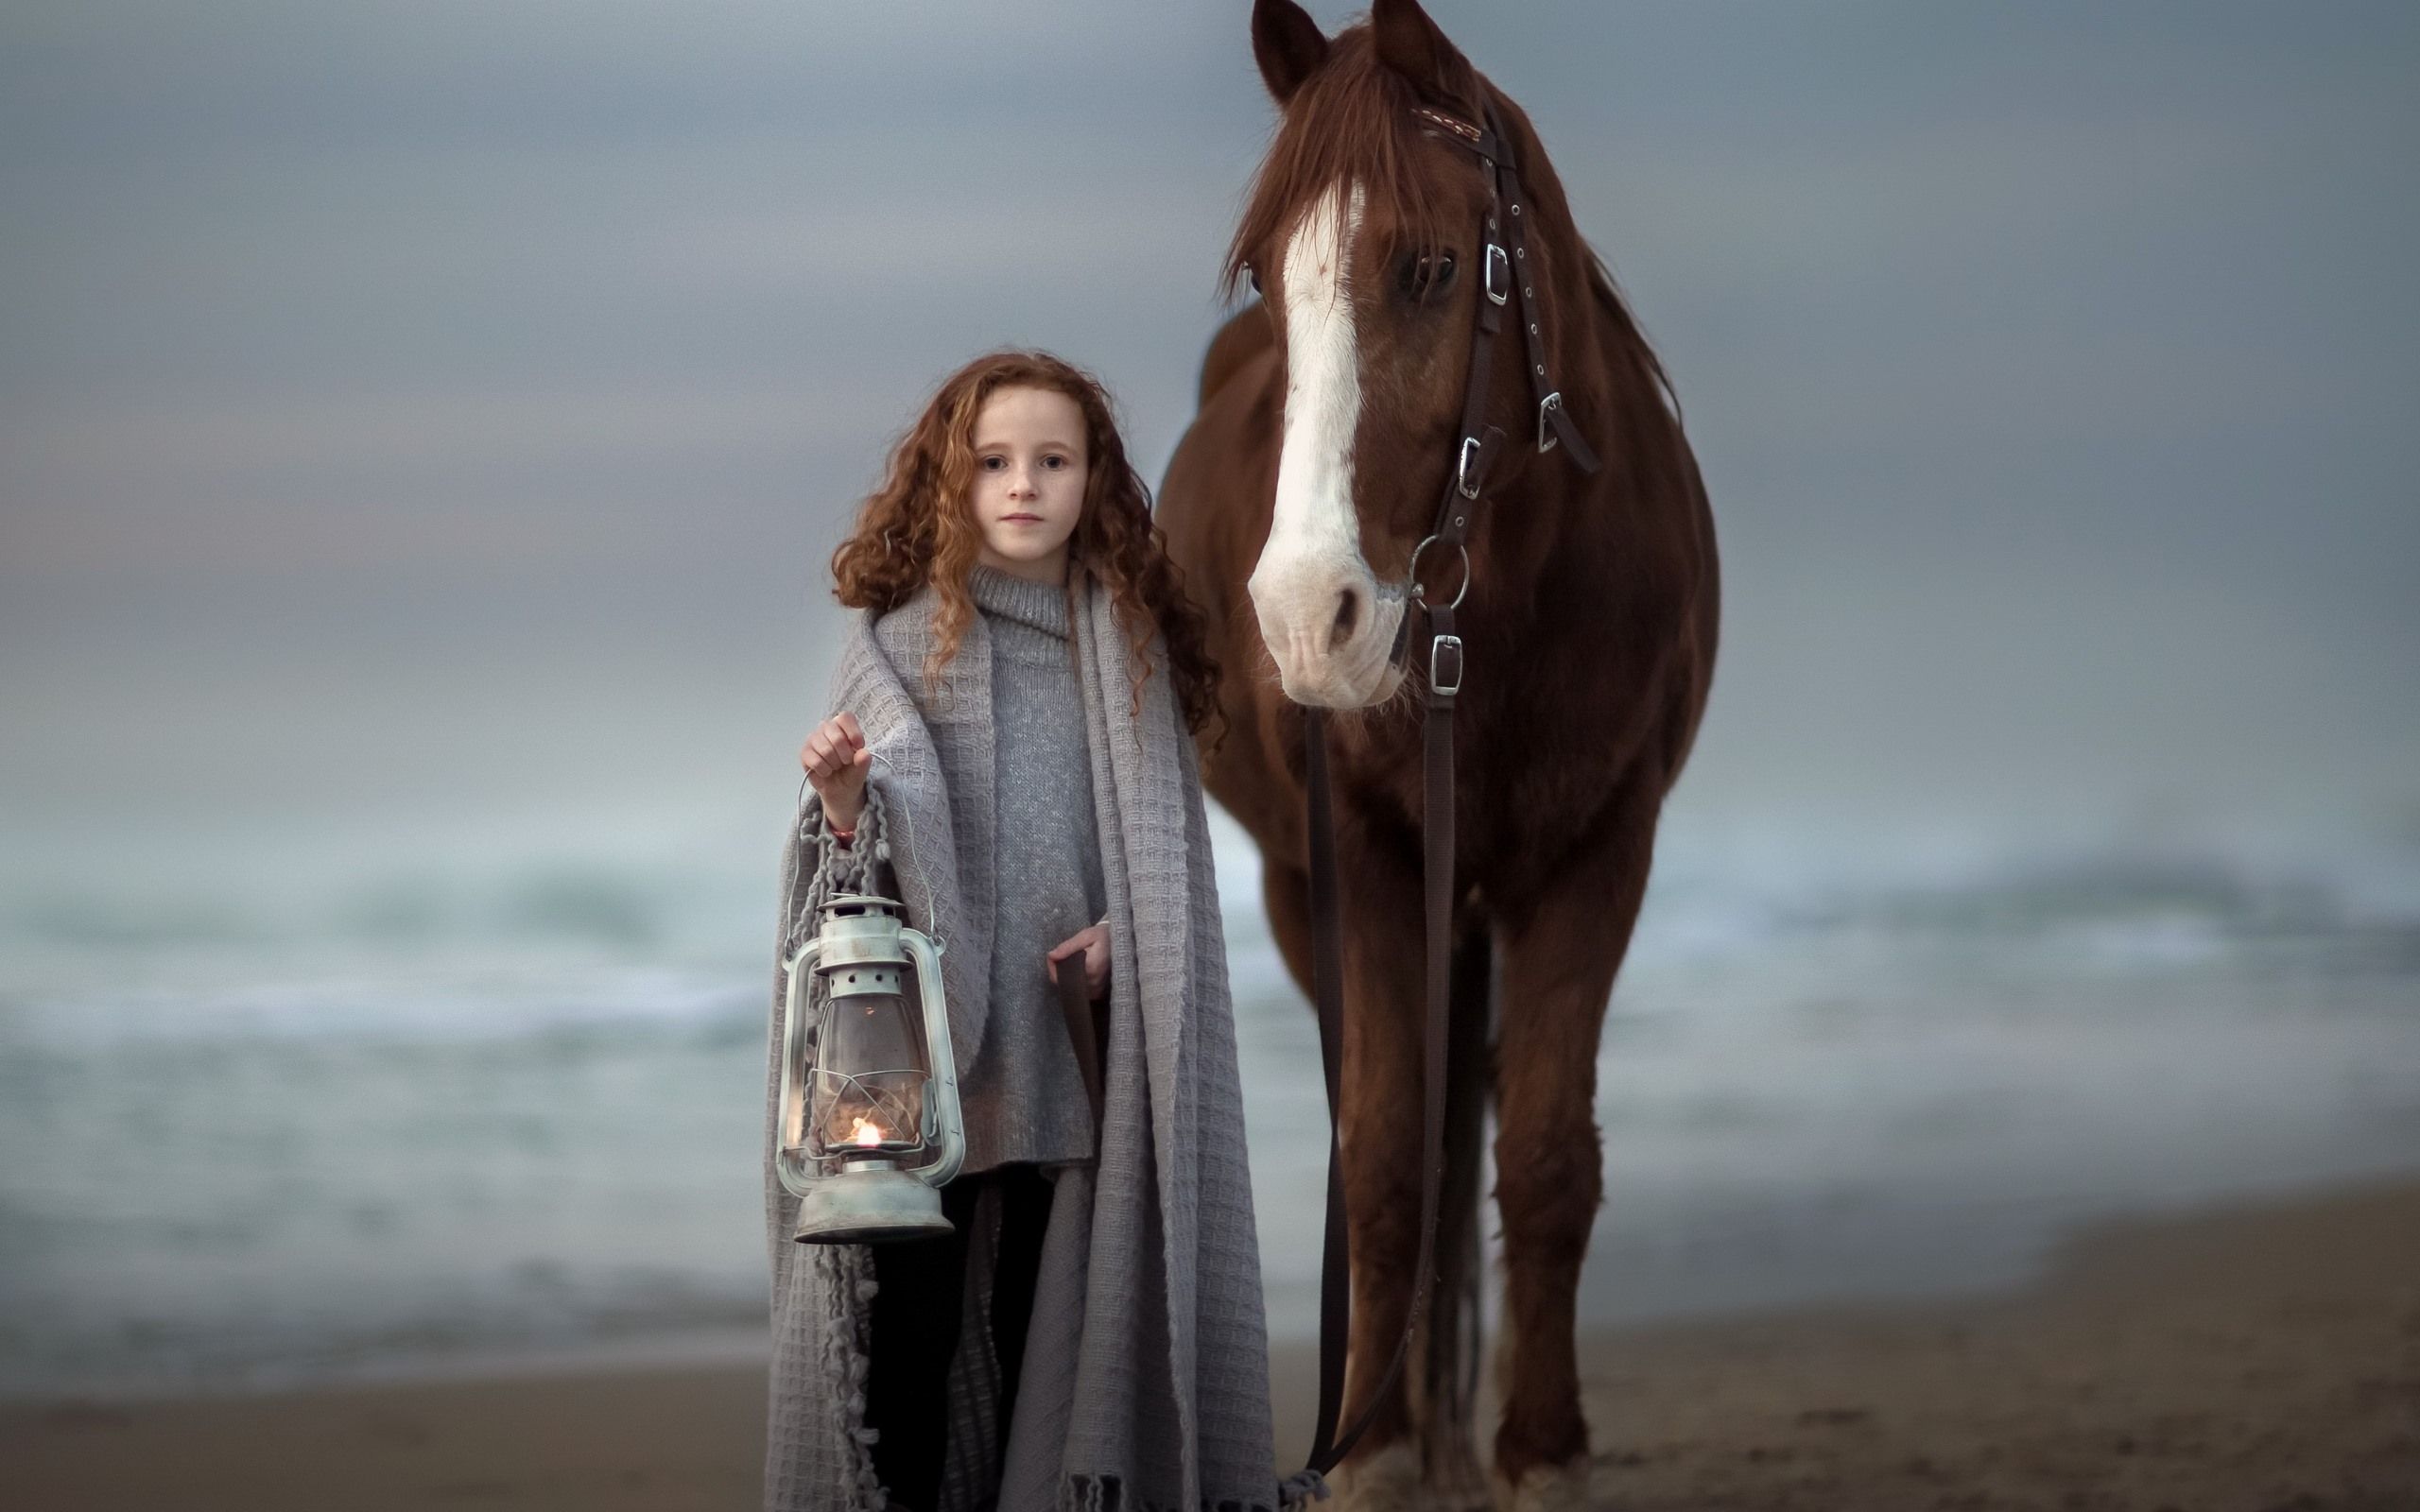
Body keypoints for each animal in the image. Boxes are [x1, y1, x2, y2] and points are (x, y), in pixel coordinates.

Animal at [1154, 3, 1720, 1507]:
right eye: (1264, 279)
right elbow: (1388, 1161)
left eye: (1427, 265)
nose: (1307, 616)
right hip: (1306, 897)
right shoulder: (1364, 864)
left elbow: (1543, 1156)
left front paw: (1540, 1449)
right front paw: (1376, 1452)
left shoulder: (1601, 851)